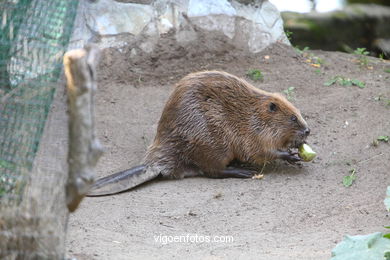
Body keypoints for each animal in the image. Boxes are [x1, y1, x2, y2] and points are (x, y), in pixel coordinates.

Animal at [87, 70, 310, 196]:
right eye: (293, 118)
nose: (307, 130)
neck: (254, 113)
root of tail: (156, 164)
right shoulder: (252, 131)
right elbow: (257, 151)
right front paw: (290, 155)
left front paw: (296, 156)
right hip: (213, 142)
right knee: (212, 170)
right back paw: (243, 171)